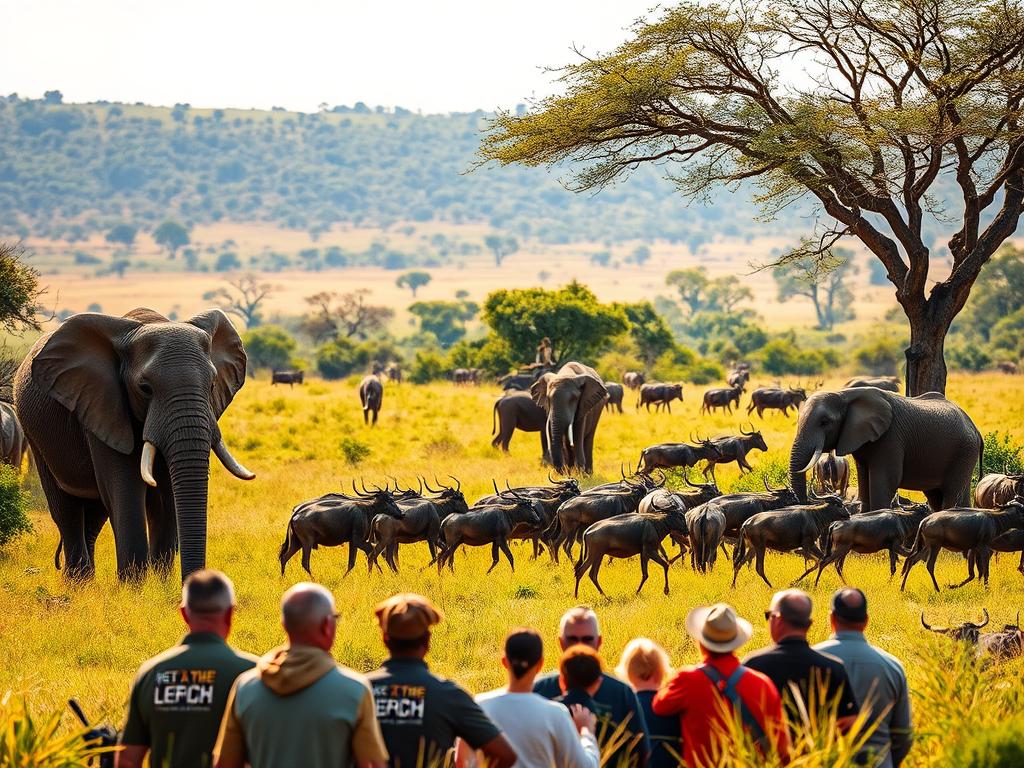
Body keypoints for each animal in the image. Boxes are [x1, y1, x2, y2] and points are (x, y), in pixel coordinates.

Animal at [13, 308, 254, 581]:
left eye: (212, 385)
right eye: (145, 388)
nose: (196, 583)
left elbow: (166, 495)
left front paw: (160, 583)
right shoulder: (103, 405)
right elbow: (126, 488)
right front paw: (134, 586)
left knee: (95, 515)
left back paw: (86, 584)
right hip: (34, 433)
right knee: (67, 512)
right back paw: (77, 582)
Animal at [789, 387, 982, 513]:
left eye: (824, 422)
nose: (807, 503)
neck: (844, 395)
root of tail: (974, 428)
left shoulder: (891, 438)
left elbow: (886, 480)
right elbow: (864, 481)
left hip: (964, 451)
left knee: (952, 492)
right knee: (937, 496)